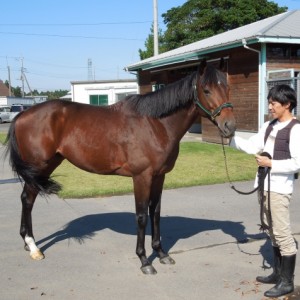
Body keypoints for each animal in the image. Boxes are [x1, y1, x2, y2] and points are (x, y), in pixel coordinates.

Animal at [3, 58, 236, 274]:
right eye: (206, 90)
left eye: (227, 87)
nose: (230, 126)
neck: (155, 124)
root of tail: (22, 115)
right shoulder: (142, 176)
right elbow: (141, 216)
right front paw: (144, 260)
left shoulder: (159, 176)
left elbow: (156, 213)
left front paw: (161, 253)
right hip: (38, 166)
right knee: (27, 200)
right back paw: (33, 247)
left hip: (47, 165)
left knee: (28, 199)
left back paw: (29, 244)